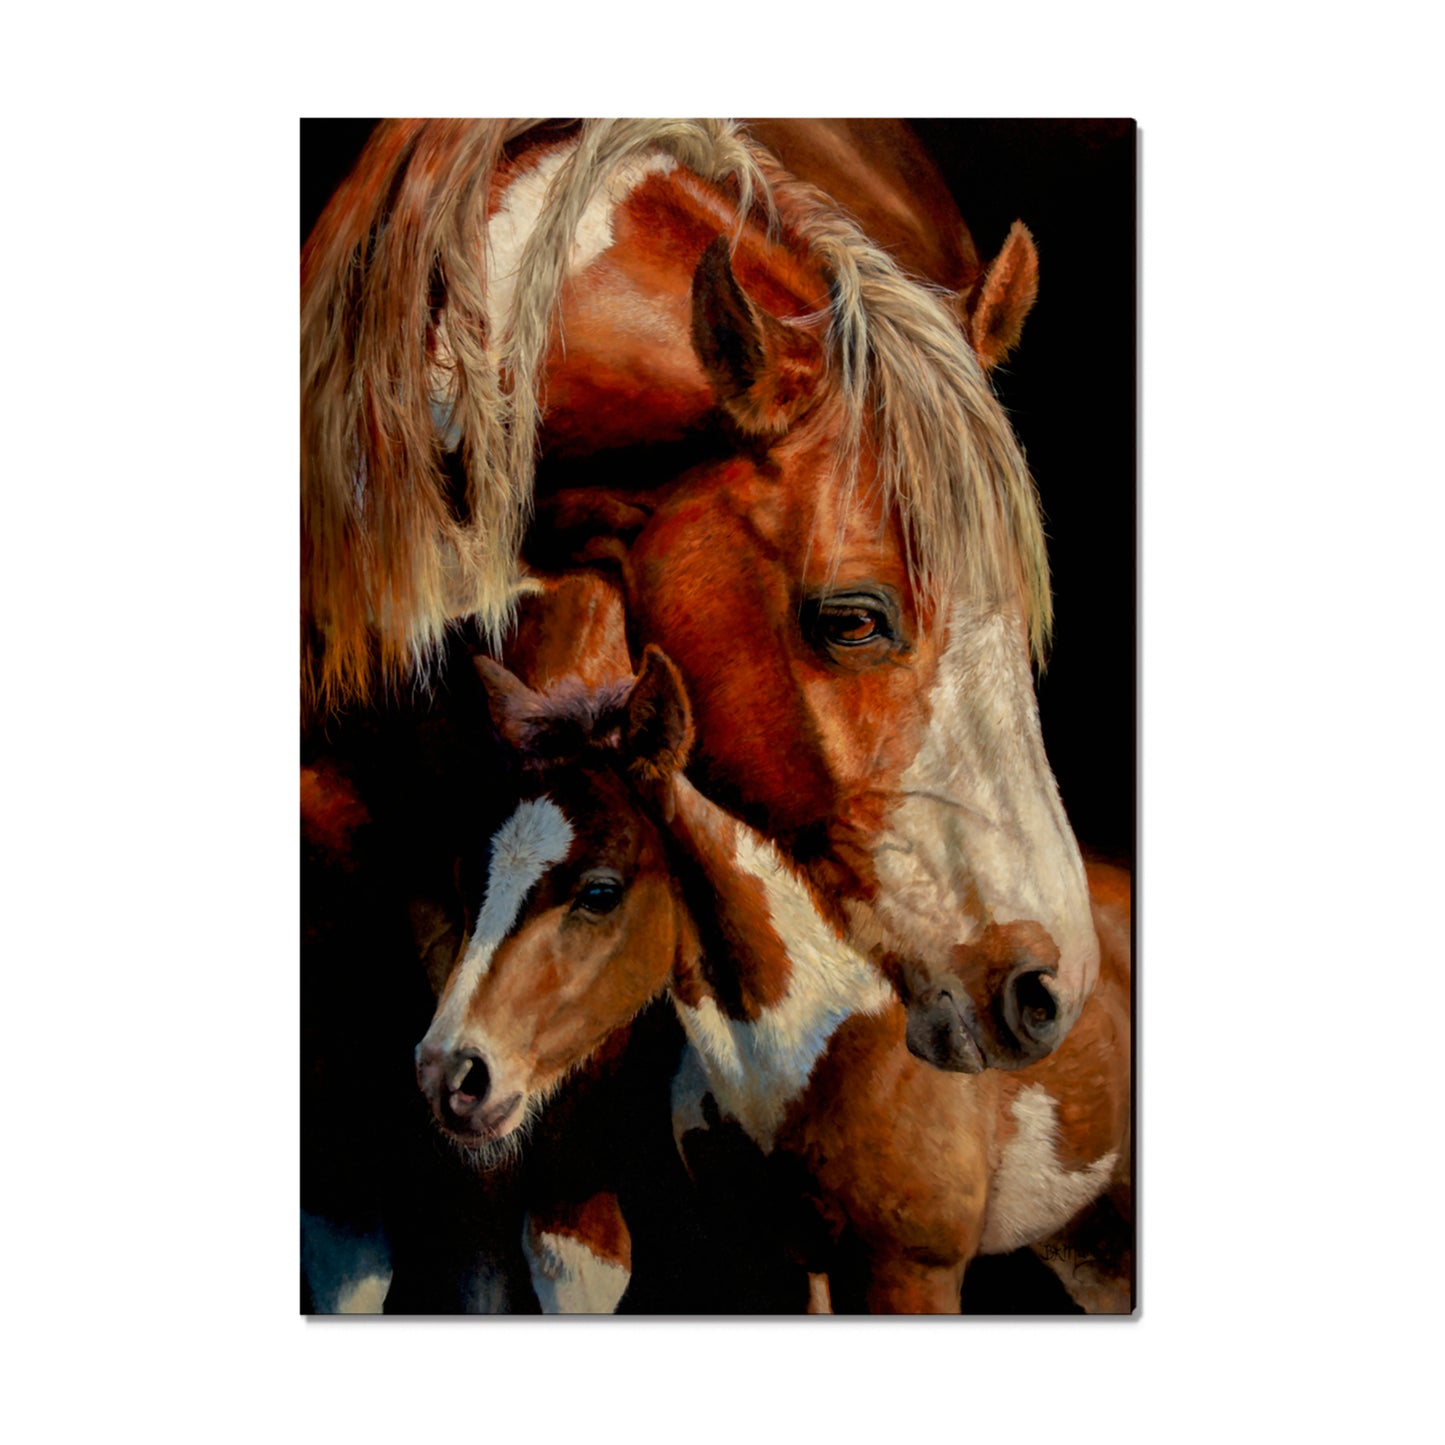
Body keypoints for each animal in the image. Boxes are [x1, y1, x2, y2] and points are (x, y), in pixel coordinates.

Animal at [416, 646, 1130, 1311]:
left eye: (599, 892)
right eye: (466, 880)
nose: (450, 1075)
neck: (816, 1050)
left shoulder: (913, 1275)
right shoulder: (774, 1264)